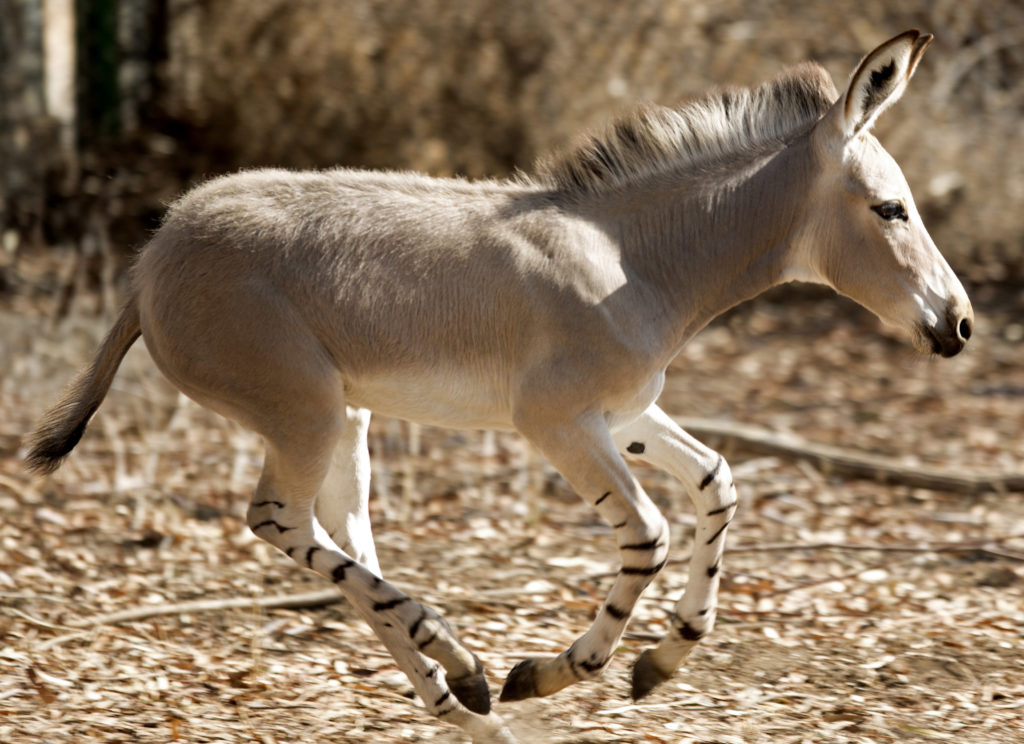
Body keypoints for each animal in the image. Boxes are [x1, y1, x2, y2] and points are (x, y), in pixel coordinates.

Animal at [25, 31, 966, 740]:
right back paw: (461, 662)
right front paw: (562, 670)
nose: (958, 325)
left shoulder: (623, 413)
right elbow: (651, 534)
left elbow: (716, 483)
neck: (635, 260)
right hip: (306, 412)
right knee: (281, 521)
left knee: (344, 540)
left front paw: (660, 663)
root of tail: (151, 258)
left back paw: (465, 698)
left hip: (344, 419)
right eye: (891, 210)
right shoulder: (557, 424)